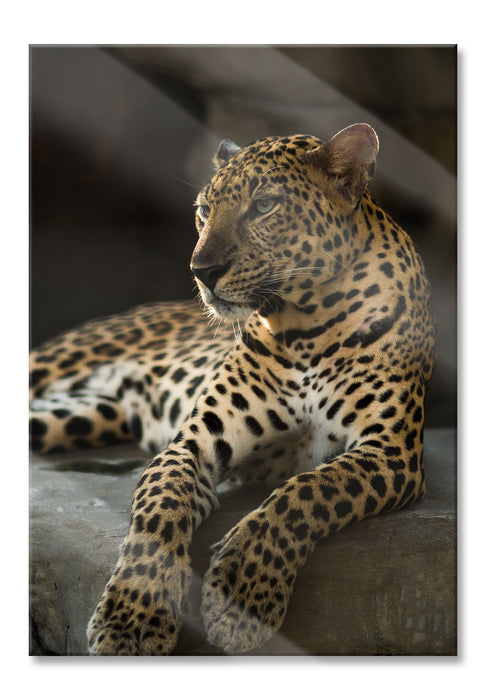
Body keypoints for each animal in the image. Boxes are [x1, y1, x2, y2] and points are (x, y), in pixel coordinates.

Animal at [29, 123, 436, 655]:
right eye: (204, 211)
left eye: (264, 206)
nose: (201, 272)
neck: (306, 325)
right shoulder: (193, 444)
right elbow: (158, 512)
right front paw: (131, 619)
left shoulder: (391, 451)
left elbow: (307, 491)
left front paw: (244, 590)